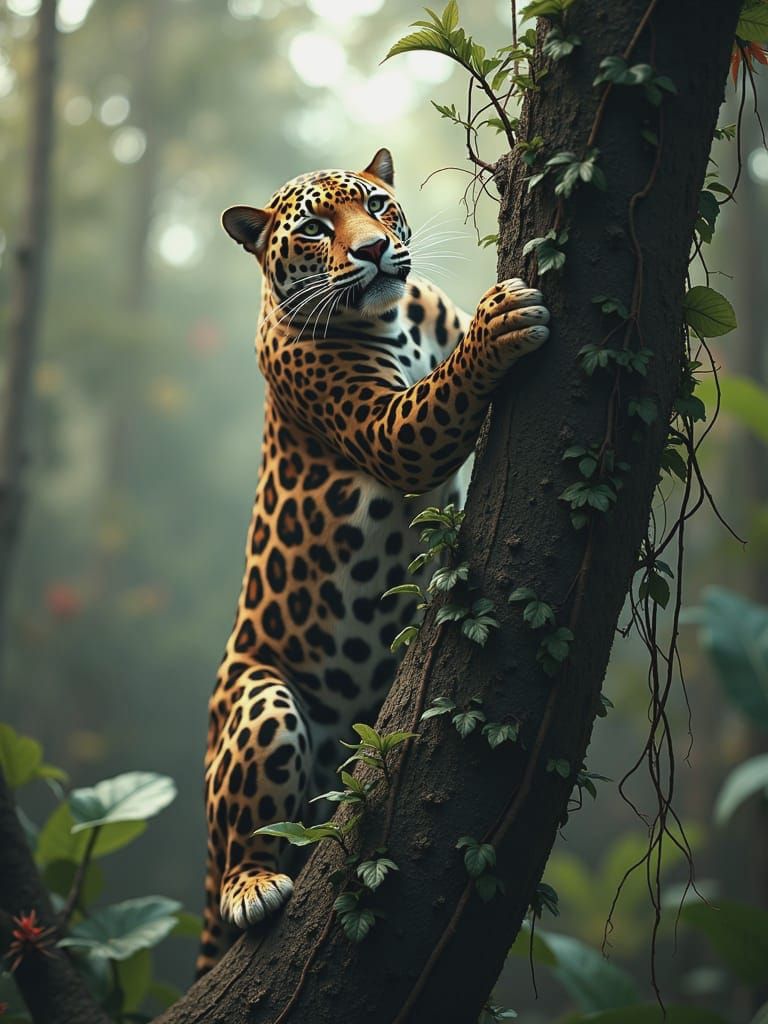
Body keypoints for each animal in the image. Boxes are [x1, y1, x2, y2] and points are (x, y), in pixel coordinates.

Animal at [197, 147, 549, 975]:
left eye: (379, 205)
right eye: (315, 229)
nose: (373, 250)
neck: (394, 314)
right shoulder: (388, 429)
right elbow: (442, 394)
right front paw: (503, 320)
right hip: (259, 704)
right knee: (242, 852)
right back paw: (252, 886)